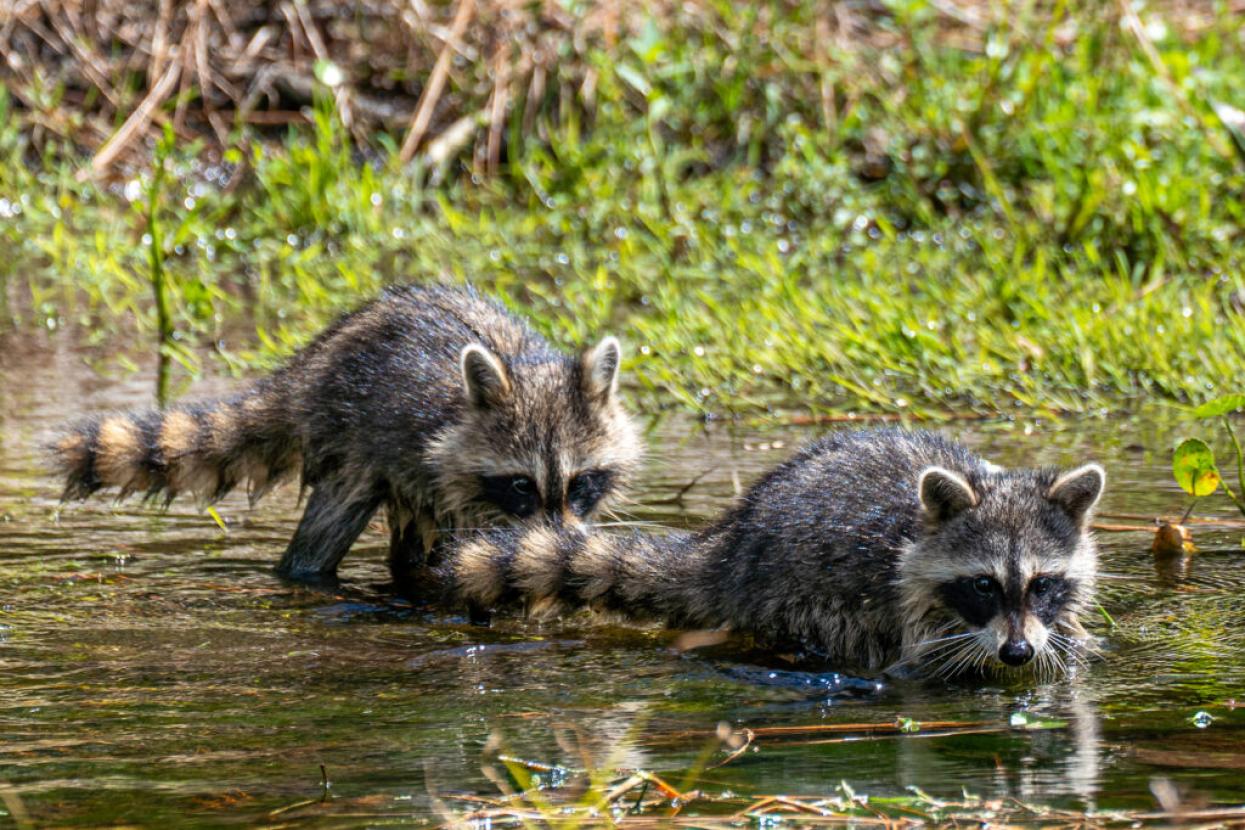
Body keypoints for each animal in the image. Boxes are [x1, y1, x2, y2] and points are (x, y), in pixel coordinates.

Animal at [51, 284, 642, 584]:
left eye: (582, 482)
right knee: (327, 528)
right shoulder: (438, 465)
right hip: (353, 439)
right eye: (521, 484)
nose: (562, 540)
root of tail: (310, 364)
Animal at [439, 429, 1105, 679]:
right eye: (983, 584)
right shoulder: (906, 603)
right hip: (795, 588)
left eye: (1042, 583)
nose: (1017, 653)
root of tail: (731, 542)